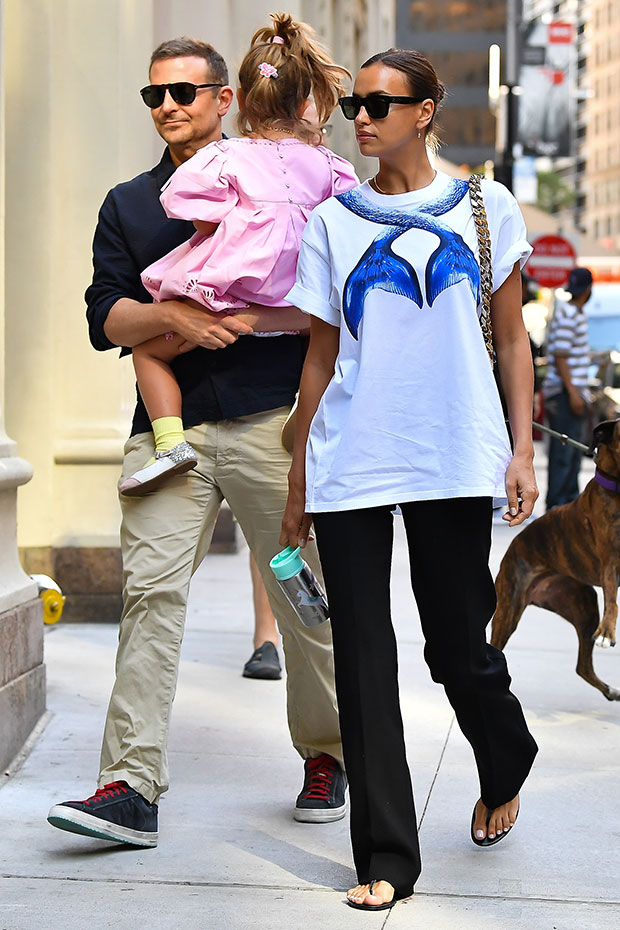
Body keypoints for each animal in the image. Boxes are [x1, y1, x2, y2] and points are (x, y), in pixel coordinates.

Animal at [494, 416, 620, 700]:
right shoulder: (610, 561)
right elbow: (612, 599)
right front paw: (607, 633)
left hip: (583, 605)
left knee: (582, 667)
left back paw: (611, 691)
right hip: (508, 611)